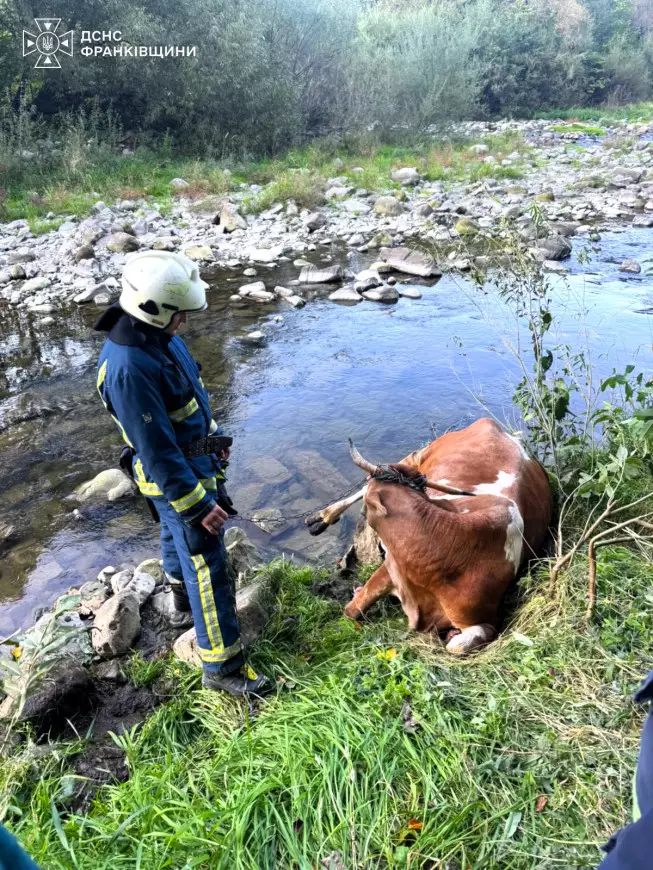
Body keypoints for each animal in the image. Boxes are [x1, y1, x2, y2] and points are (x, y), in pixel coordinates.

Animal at [305, 418, 552, 653]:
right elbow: (353, 609)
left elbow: (457, 646)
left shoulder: (485, 620)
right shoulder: (391, 567)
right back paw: (323, 517)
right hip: (419, 455)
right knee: (366, 485)